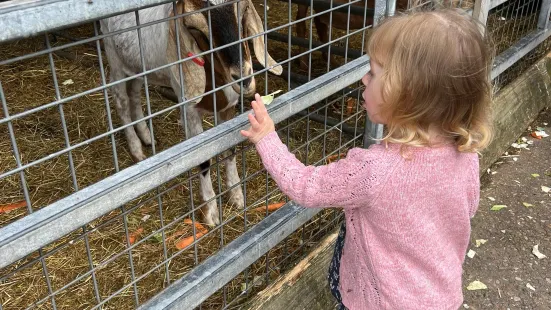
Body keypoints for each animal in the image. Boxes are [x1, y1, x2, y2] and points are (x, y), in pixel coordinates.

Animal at [100, 0, 284, 224]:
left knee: (134, 94)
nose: (244, 79)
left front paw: (237, 197)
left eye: (243, 11)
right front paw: (211, 213)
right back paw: (136, 149)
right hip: (114, 59)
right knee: (121, 101)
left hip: (136, 67)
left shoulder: (228, 107)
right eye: (194, 28)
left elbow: (229, 148)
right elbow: (202, 158)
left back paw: (146, 136)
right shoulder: (189, 110)